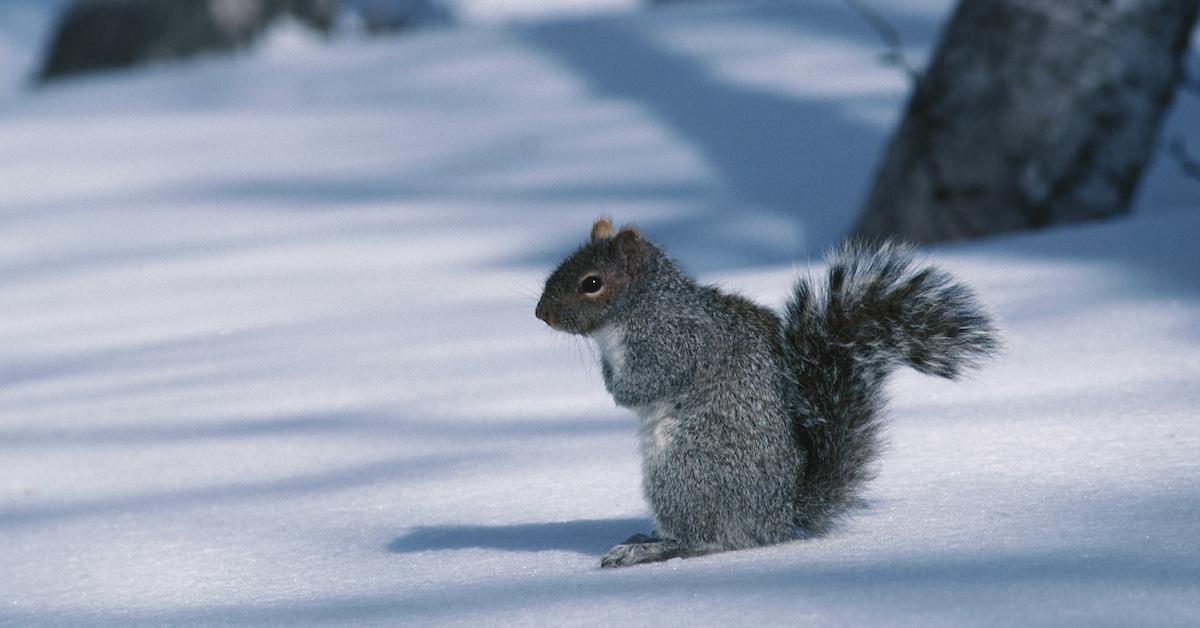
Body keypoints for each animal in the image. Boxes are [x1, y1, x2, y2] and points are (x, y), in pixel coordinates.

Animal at [532, 218, 993, 566]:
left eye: (592, 282)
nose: (541, 313)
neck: (640, 309)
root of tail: (776, 518)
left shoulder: (676, 344)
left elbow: (646, 383)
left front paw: (613, 387)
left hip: (685, 468)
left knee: (708, 540)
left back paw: (650, 549)